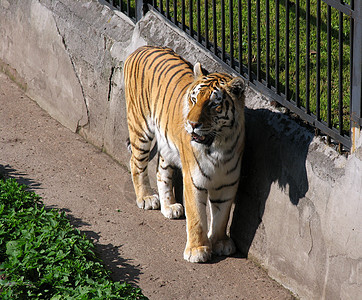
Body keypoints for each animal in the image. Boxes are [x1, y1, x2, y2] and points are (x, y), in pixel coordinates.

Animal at [123, 45, 245, 262]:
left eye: (214, 105)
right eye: (194, 99)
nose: (191, 124)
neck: (219, 146)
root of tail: (142, 48)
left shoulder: (228, 182)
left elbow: (222, 216)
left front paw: (220, 242)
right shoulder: (193, 180)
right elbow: (197, 216)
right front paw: (197, 250)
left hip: (166, 146)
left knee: (161, 172)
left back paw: (169, 207)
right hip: (140, 128)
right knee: (136, 163)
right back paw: (146, 198)